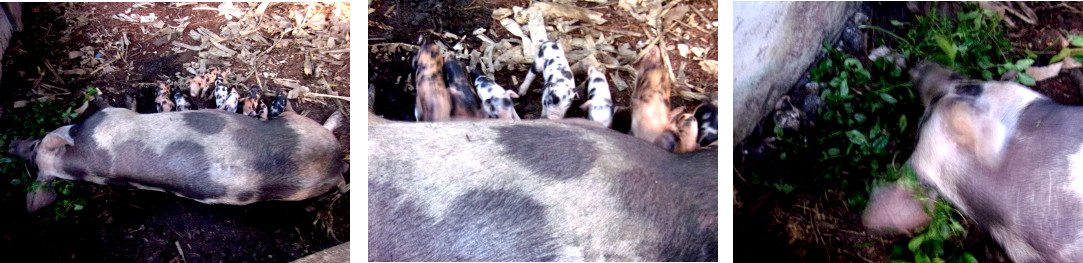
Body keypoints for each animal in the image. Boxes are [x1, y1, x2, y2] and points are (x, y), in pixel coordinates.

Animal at [7, 106, 346, 212]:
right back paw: (336, 115)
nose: (14, 144)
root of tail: (335, 164)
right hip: (298, 125)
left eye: (34, 144)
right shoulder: (113, 114)